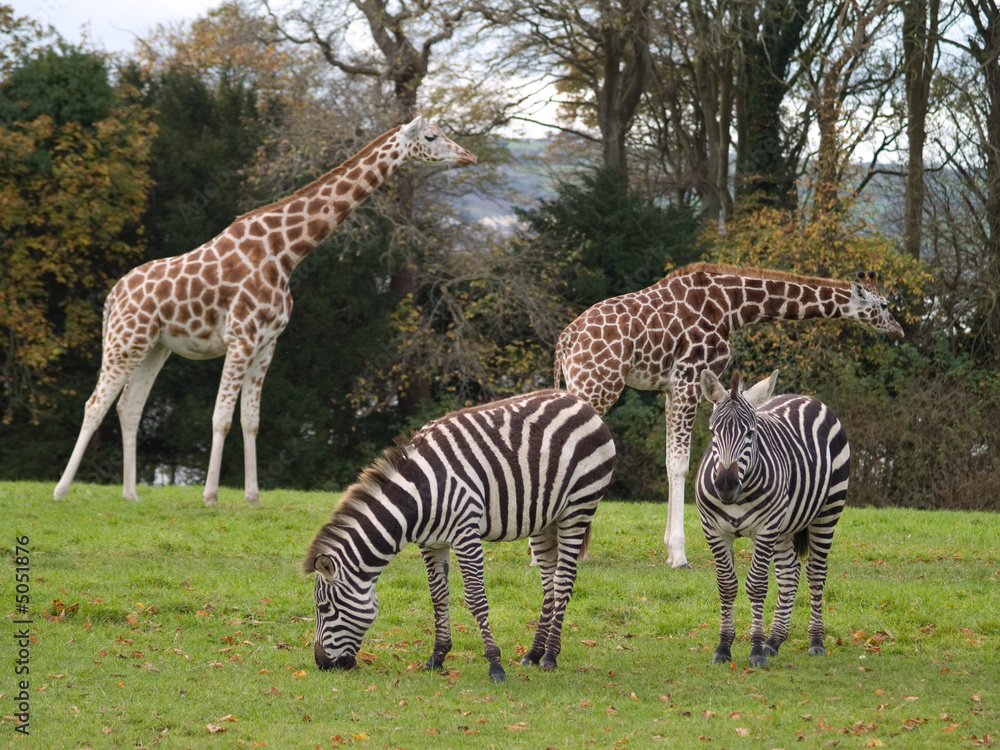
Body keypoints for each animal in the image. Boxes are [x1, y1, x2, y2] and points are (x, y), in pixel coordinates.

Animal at [54, 111, 476, 505]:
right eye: (431, 136)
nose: (468, 155)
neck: (286, 252)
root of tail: (113, 295)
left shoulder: (267, 342)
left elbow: (251, 420)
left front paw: (252, 496)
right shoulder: (241, 337)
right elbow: (222, 417)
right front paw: (211, 496)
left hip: (154, 347)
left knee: (129, 407)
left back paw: (130, 494)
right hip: (126, 340)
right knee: (96, 404)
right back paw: (61, 490)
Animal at [302, 389, 617, 682]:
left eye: (324, 607)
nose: (321, 664)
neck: (420, 496)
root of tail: (579, 401)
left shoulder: (466, 534)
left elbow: (475, 597)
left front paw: (494, 664)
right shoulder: (430, 543)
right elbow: (438, 596)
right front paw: (437, 657)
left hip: (578, 508)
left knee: (563, 580)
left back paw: (550, 656)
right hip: (545, 521)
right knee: (549, 582)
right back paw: (534, 653)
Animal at [553, 262, 904, 568]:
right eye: (885, 305)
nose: (898, 330)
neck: (732, 306)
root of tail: (564, 341)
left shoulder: (672, 388)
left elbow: (670, 461)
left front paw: (670, 547)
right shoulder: (690, 378)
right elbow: (681, 464)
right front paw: (679, 556)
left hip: (585, 384)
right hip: (599, 384)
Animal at [695, 369, 850, 668]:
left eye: (751, 433)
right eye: (712, 432)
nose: (726, 485)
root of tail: (806, 397)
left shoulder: (765, 529)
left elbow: (756, 585)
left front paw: (755, 649)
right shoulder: (713, 530)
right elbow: (726, 585)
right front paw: (724, 647)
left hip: (828, 511)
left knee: (815, 573)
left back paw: (815, 641)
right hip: (784, 526)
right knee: (790, 574)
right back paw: (774, 641)